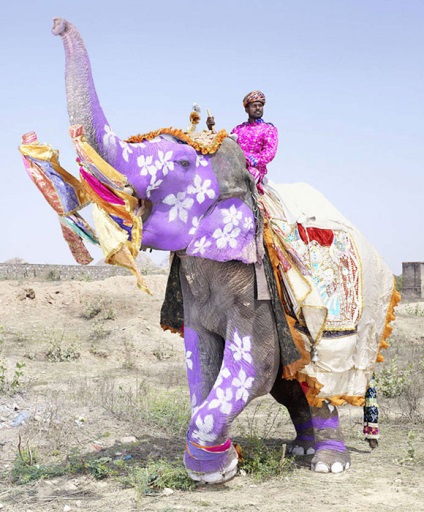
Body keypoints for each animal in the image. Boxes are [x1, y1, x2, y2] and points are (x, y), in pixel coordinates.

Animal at [19, 19, 398, 484]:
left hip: (348, 330)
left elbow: (255, 364)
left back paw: (327, 464)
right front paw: (218, 463)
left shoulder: (256, 285)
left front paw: (215, 469)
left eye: (183, 164)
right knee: (294, 387)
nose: (57, 24)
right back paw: (301, 450)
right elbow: (199, 357)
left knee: (320, 383)